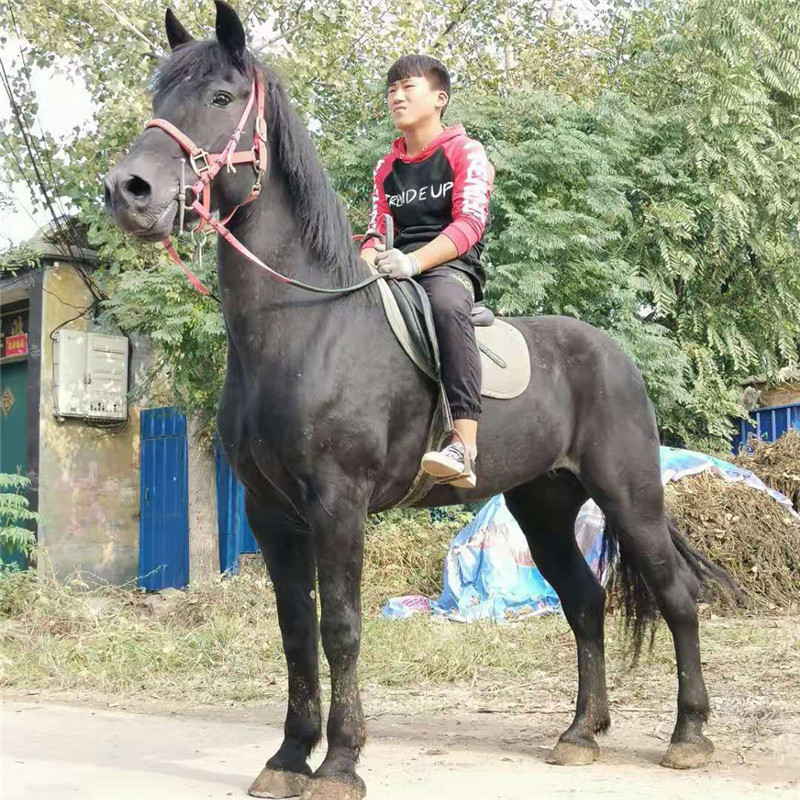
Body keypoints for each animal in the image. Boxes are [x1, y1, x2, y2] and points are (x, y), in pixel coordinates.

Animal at [104, 3, 739, 798]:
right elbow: (295, 632)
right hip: (545, 504)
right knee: (584, 603)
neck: (305, 326)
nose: (127, 190)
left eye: (220, 98)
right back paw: (579, 733)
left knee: (677, 595)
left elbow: (341, 628)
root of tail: (615, 353)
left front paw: (340, 762)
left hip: (630, 495)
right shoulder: (270, 513)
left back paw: (689, 735)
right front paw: (289, 757)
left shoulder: (338, 504)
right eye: (159, 95)